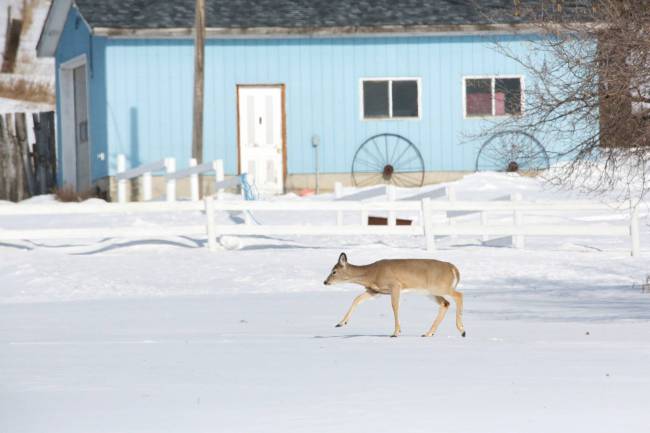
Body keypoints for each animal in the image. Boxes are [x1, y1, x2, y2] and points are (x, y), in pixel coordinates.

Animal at [323, 253, 465, 338]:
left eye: (334, 271)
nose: (325, 282)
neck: (371, 274)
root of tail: (453, 268)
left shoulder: (395, 285)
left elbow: (394, 306)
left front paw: (396, 332)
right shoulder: (375, 291)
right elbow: (357, 299)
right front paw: (340, 323)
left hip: (440, 287)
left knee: (459, 295)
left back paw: (462, 330)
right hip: (431, 292)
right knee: (446, 303)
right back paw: (428, 333)